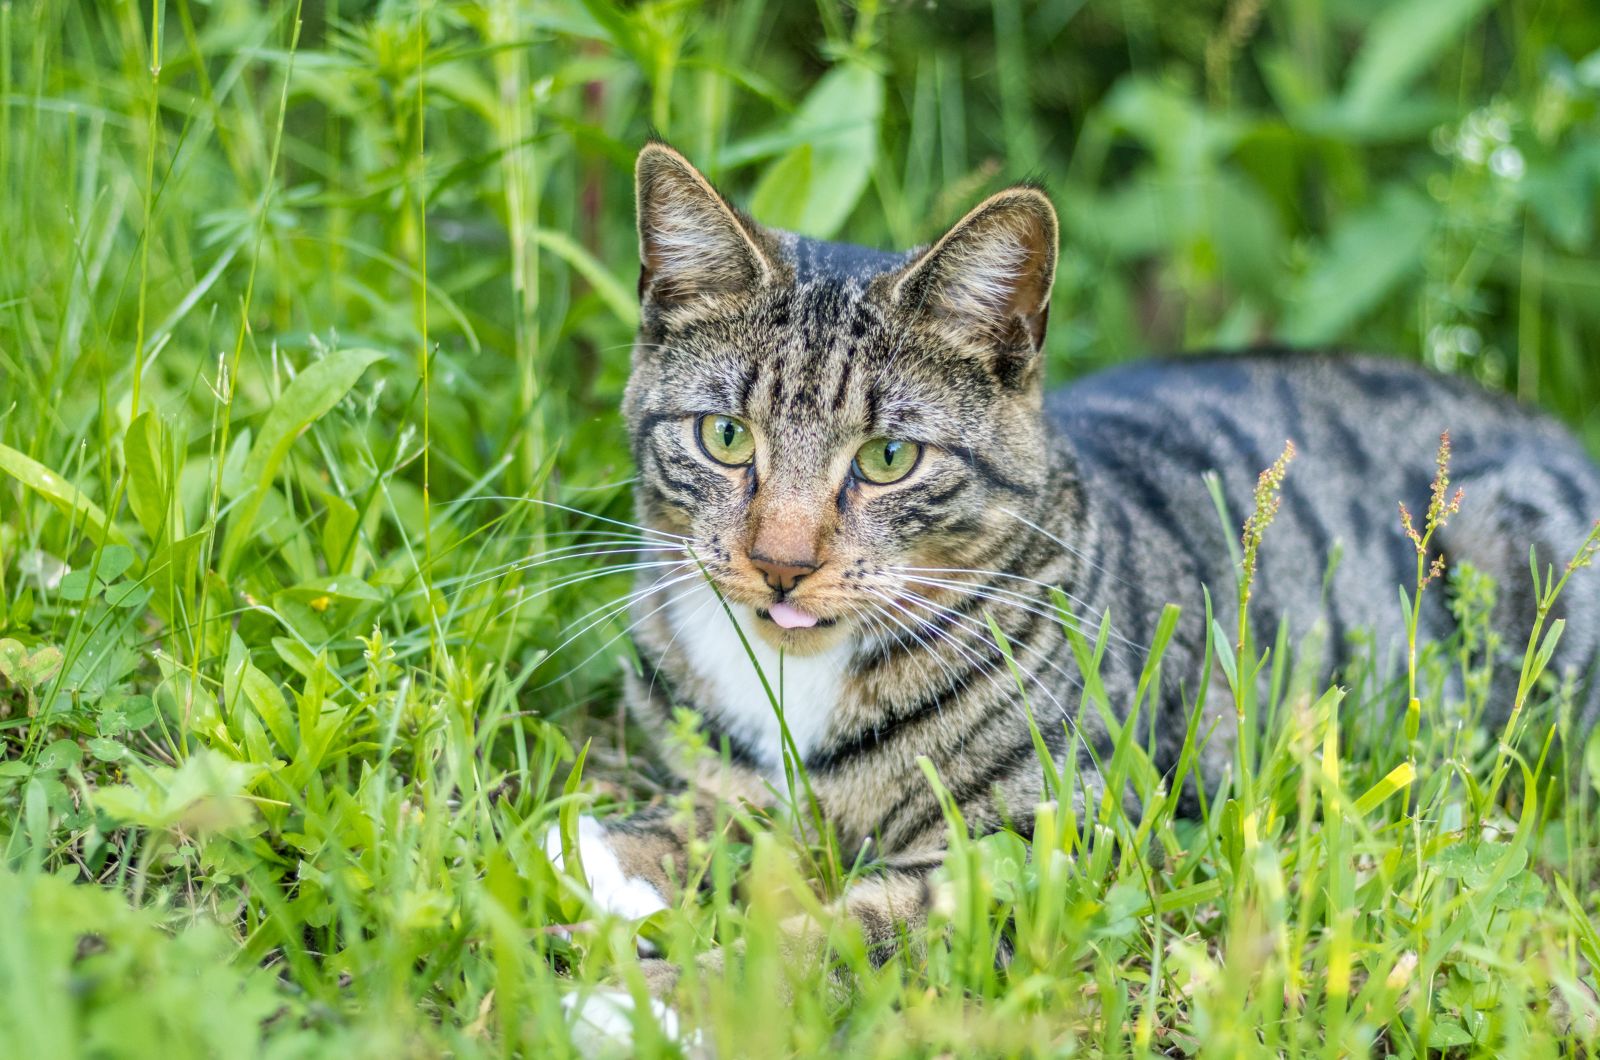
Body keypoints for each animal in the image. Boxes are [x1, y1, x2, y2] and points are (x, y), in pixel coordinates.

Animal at [540, 139, 1600, 999]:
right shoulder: (743, 799)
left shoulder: (1043, 845)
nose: (780, 565)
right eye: (724, 437)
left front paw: (643, 1000)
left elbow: (826, 944)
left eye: (888, 457)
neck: (799, 679)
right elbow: (682, 825)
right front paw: (580, 858)